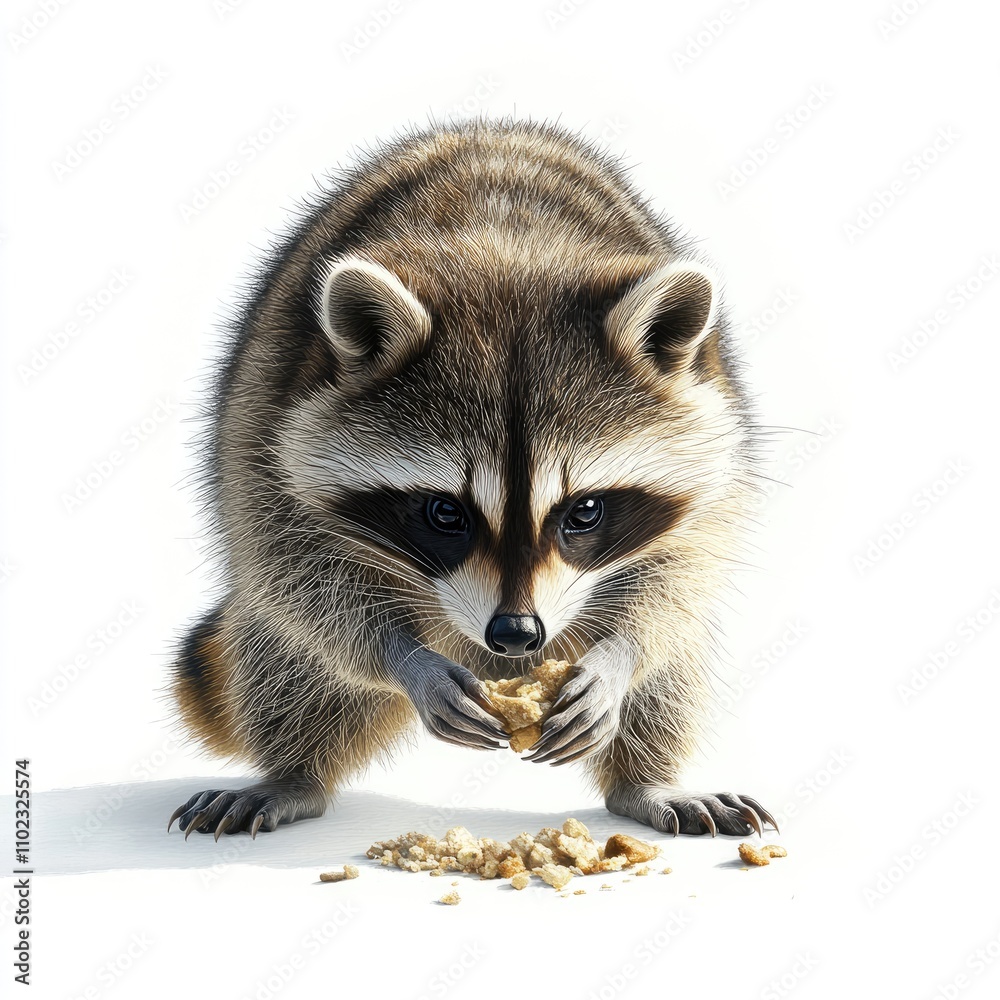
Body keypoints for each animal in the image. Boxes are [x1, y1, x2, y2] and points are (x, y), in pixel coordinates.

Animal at [168, 118, 776, 841]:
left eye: (585, 511)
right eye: (445, 514)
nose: (515, 636)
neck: (505, 249)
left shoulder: (716, 444)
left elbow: (681, 576)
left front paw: (617, 656)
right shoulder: (264, 430)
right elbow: (298, 575)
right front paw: (403, 656)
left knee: (672, 671)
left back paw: (646, 778)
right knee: (286, 657)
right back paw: (295, 773)